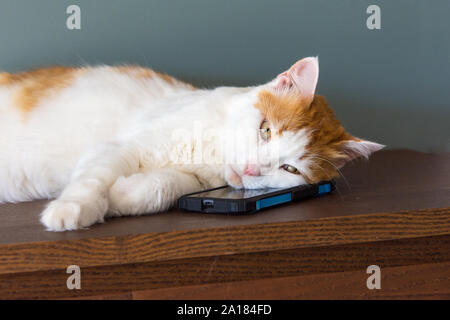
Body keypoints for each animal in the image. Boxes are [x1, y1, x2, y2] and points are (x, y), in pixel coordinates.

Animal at [0, 57, 384, 231]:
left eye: (289, 169)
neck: (211, 152)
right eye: (265, 130)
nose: (251, 168)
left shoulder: (194, 181)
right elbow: (91, 179)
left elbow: (161, 187)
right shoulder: (119, 147)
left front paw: (120, 196)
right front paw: (72, 209)